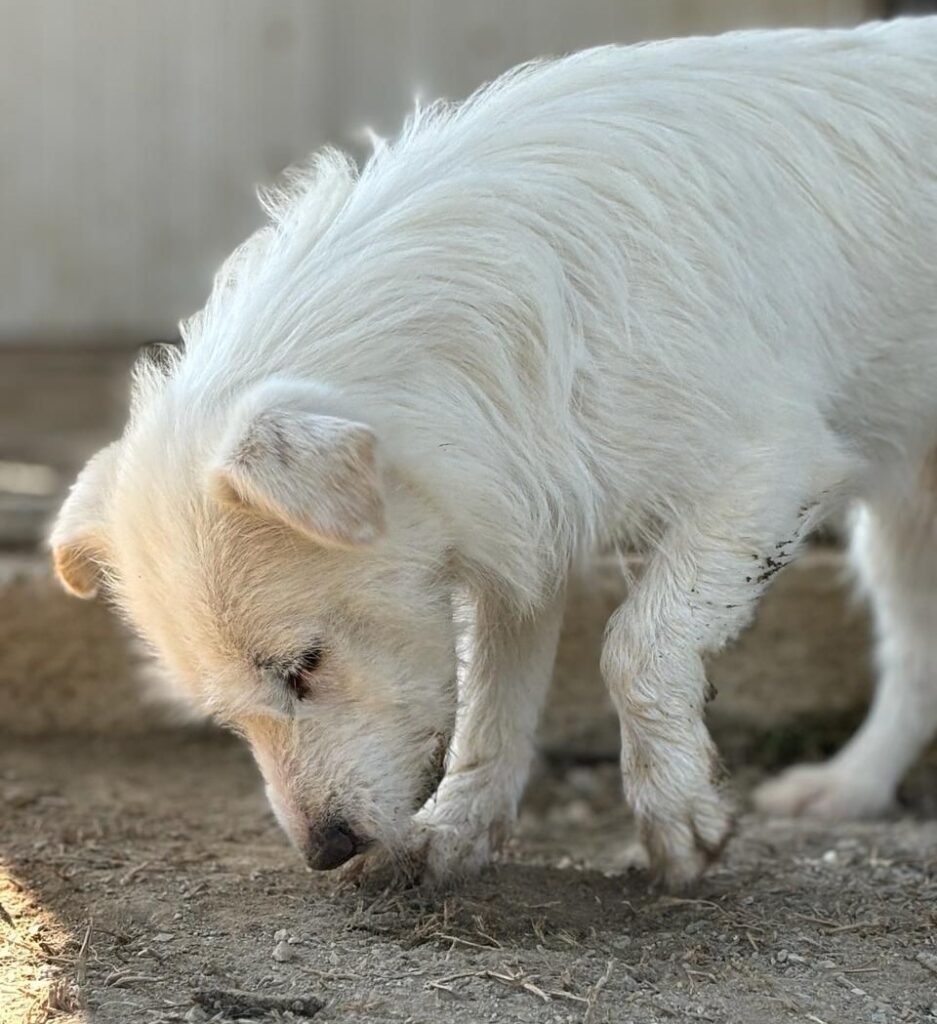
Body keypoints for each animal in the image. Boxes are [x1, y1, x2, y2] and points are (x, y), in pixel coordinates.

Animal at [49, 22, 937, 888]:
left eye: (304, 665)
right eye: (228, 711)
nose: (325, 852)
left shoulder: (768, 474)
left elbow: (636, 644)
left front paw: (677, 816)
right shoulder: (520, 526)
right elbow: (490, 703)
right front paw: (456, 831)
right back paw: (851, 785)